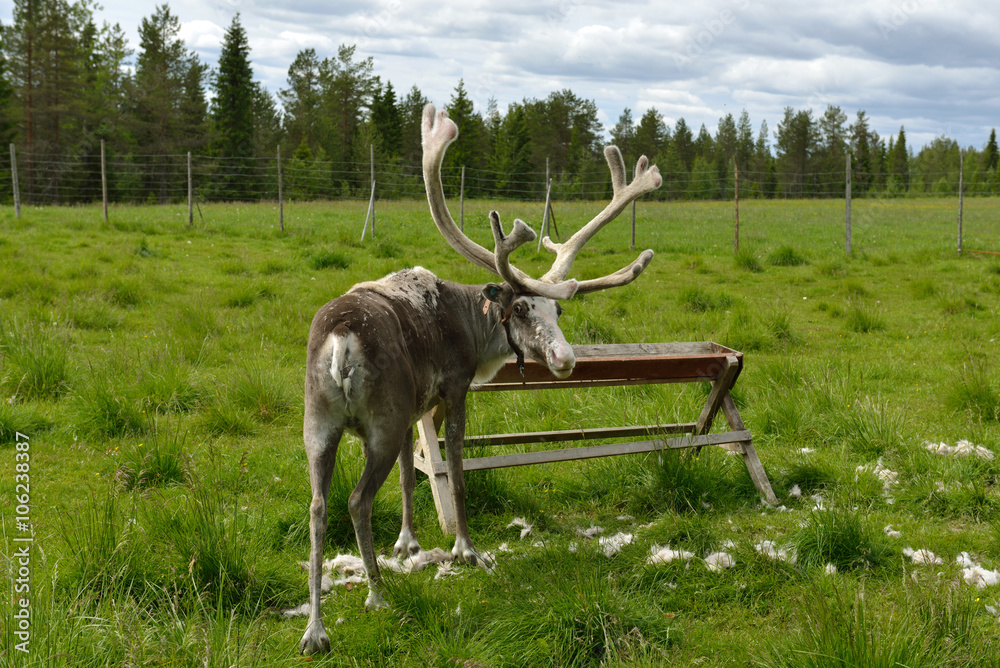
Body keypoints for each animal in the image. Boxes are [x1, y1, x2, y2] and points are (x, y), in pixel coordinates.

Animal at [299, 103, 662, 655]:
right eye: (521, 308)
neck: (471, 327)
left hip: (318, 422)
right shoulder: (452, 387)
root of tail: (341, 341)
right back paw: (377, 594)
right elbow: (456, 471)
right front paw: (465, 549)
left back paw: (315, 628)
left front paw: (407, 544)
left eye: (558, 310)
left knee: (318, 505)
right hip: (377, 421)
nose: (566, 358)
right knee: (357, 500)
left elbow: (409, 474)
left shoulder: (412, 407)